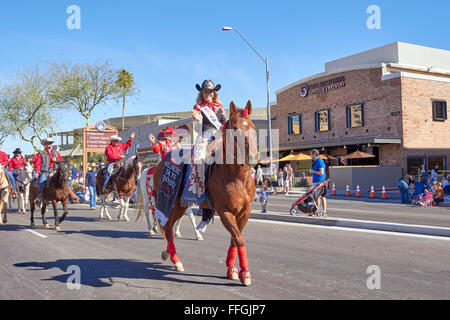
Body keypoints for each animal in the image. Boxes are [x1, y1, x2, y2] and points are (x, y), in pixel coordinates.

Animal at [142, 100, 258, 284]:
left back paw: (169, 253)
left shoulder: (244, 212)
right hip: (170, 203)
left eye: (252, 127)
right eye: (235, 128)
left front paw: (232, 269)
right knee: (167, 226)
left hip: (180, 206)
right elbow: (239, 238)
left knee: (169, 227)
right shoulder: (224, 211)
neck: (236, 177)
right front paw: (245, 274)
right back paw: (176, 260)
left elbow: (235, 238)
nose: (253, 158)